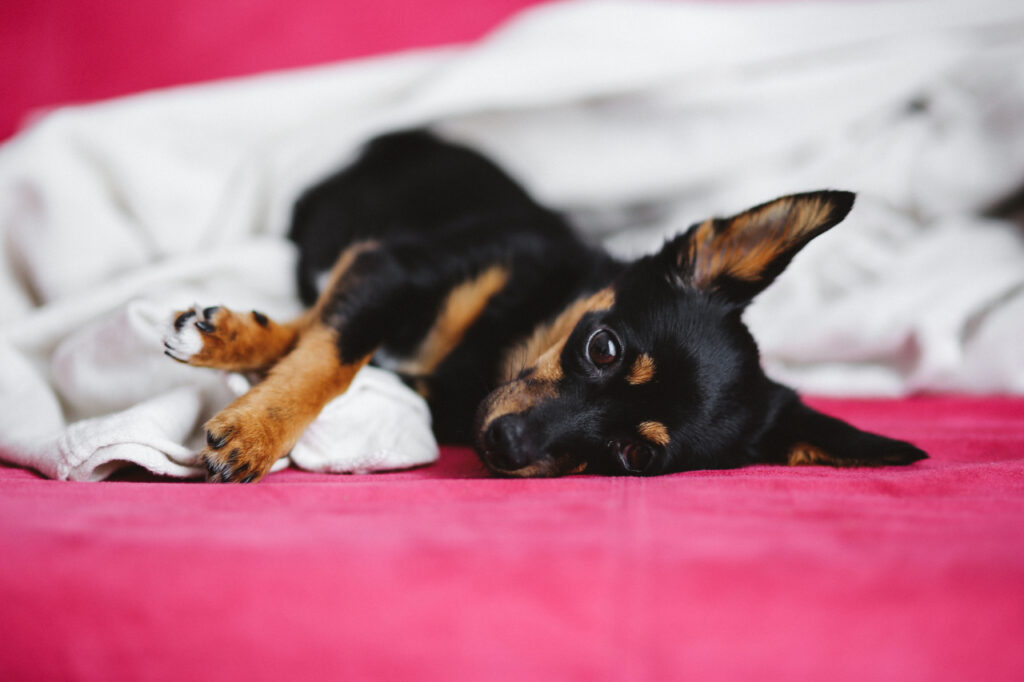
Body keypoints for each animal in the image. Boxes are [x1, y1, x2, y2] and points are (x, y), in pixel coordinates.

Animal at [161, 130, 929, 481]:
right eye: (603, 347)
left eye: (631, 456)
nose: (504, 444)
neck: (498, 350)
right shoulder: (392, 265)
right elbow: (330, 352)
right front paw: (254, 418)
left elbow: (335, 349)